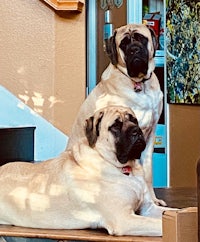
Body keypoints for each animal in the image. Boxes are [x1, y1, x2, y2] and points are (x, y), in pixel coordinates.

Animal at [0, 106, 172, 236]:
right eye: (115, 126)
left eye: (133, 119)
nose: (137, 130)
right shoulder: (123, 218)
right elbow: (158, 224)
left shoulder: (148, 208)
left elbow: (170, 212)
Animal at [67, 24, 164, 206]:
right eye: (124, 44)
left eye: (141, 39)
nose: (134, 50)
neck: (140, 85)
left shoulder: (150, 136)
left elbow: (147, 173)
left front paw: (153, 200)